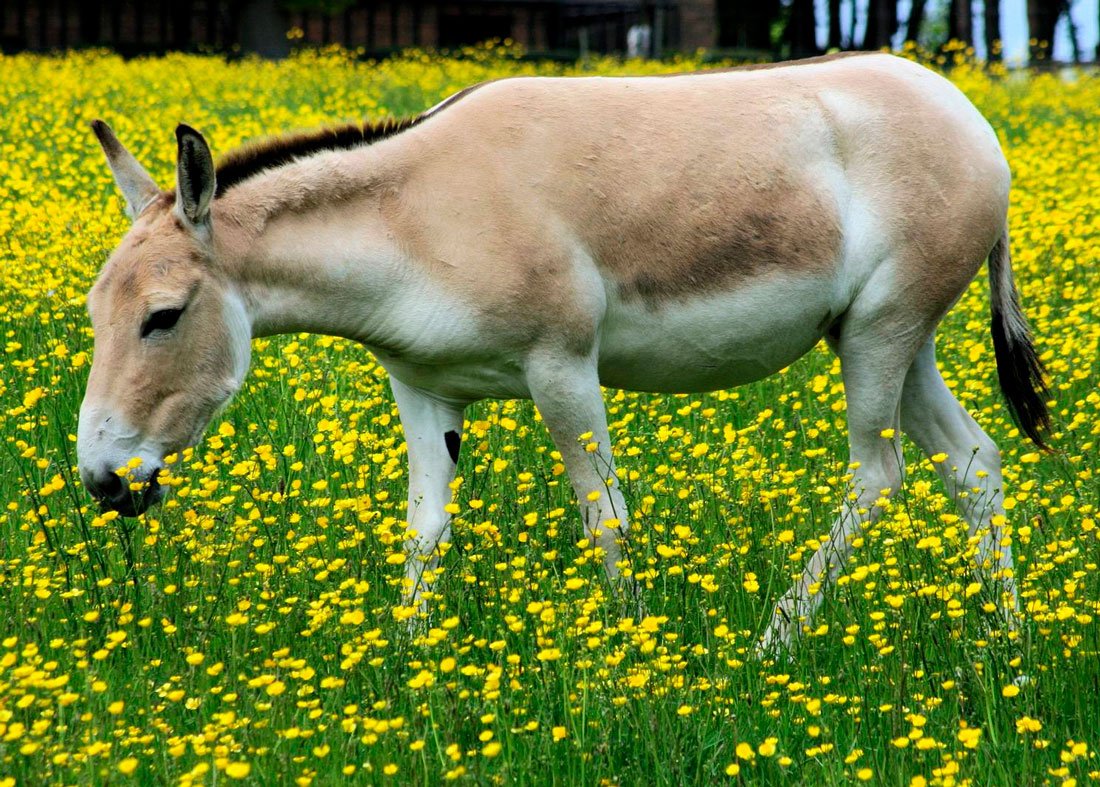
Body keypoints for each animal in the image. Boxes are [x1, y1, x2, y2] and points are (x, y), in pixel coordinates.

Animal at [77, 52, 1049, 651]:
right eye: (94, 313)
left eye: (162, 317)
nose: (100, 479)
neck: (414, 214)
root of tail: (969, 118)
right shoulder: (424, 389)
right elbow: (424, 533)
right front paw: (406, 671)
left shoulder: (562, 368)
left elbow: (604, 516)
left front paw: (634, 658)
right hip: (891, 334)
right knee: (972, 462)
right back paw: (1009, 646)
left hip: (885, 327)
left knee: (877, 474)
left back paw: (771, 643)